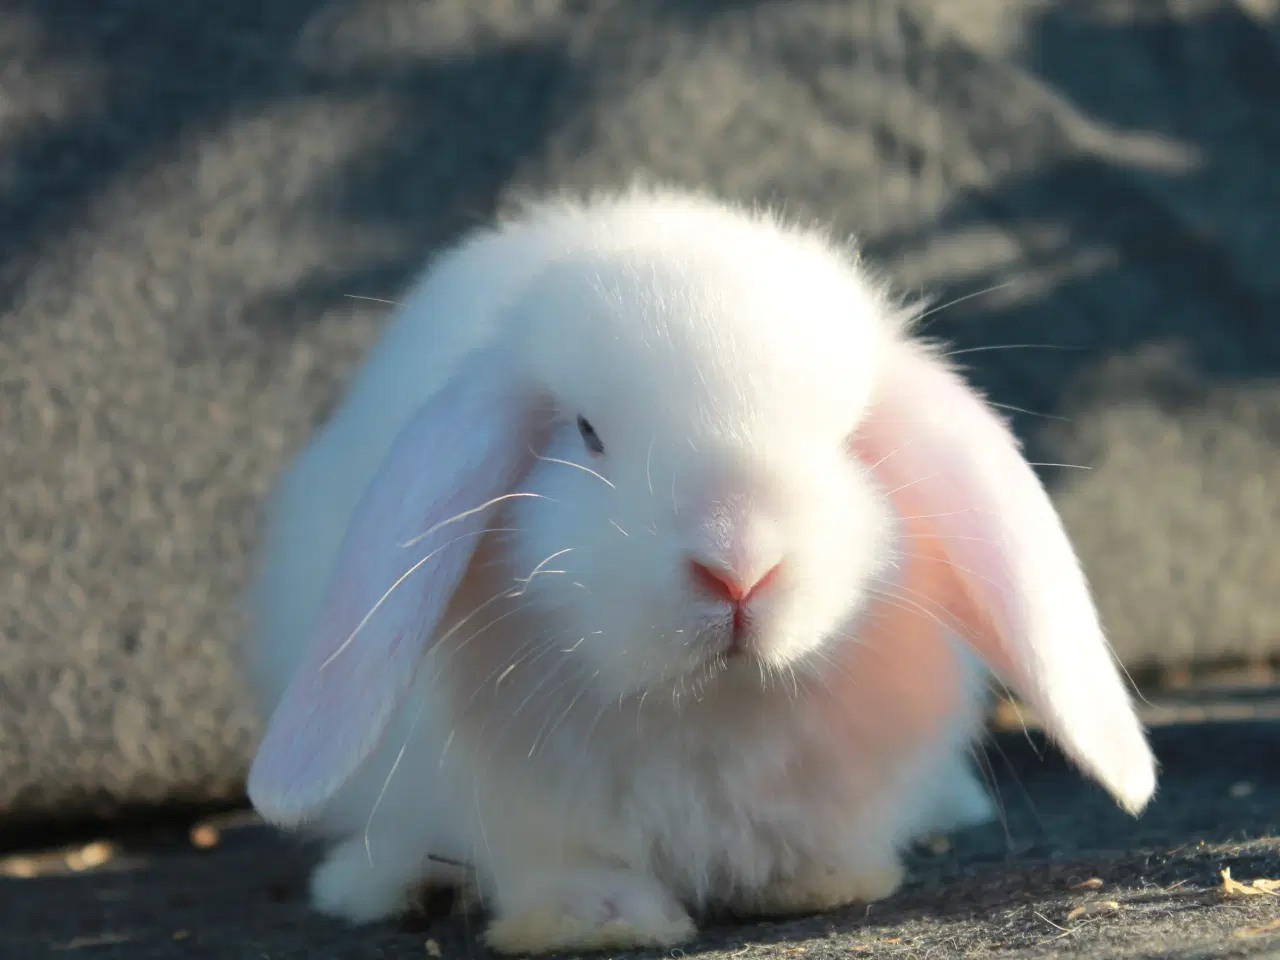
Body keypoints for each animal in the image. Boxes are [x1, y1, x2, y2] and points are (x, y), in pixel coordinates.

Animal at [241, 185, 1162, 957]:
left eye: (844, 436)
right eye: (587, 433)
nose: (739, 568)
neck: (711, 708)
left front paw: (818, 883)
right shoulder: (521, 815)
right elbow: (556, 865)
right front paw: (599, 919)